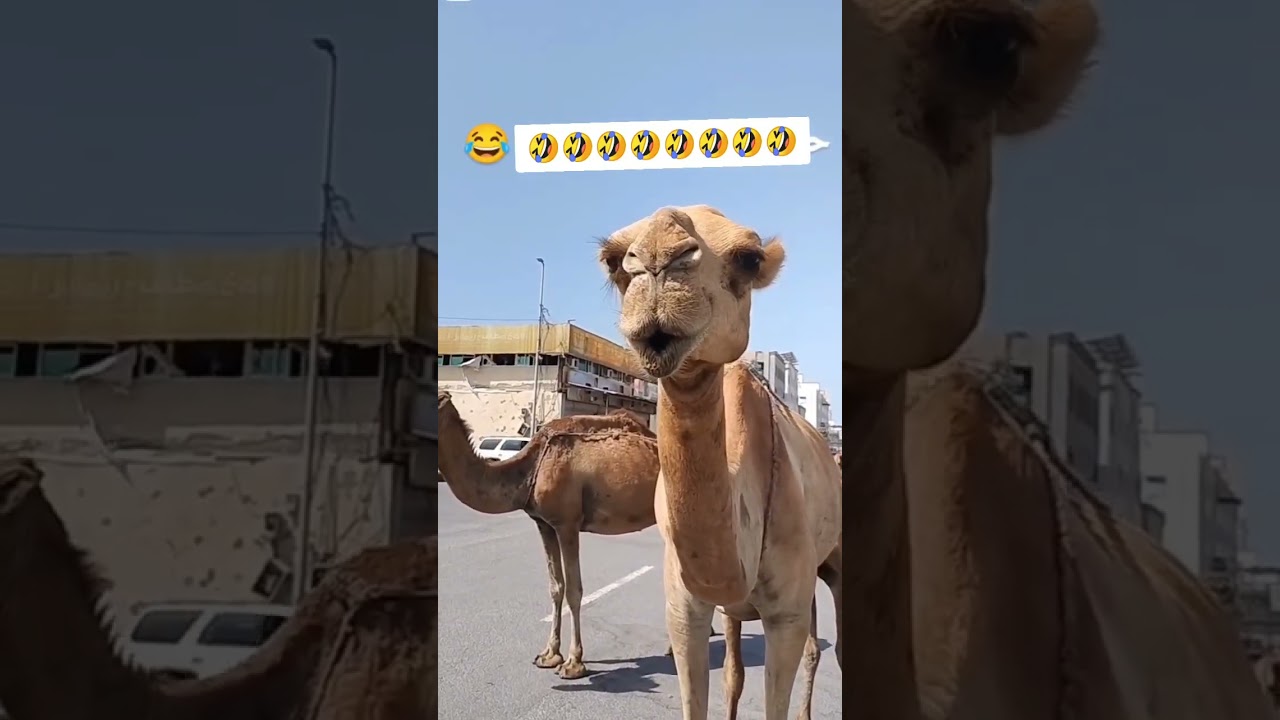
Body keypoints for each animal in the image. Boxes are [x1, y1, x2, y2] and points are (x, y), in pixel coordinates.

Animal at [597, 205, 843, 720]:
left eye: (749, 258)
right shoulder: (684, 608)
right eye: (613, 260)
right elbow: (715, 682)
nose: (658, 259)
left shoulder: (785, 612)